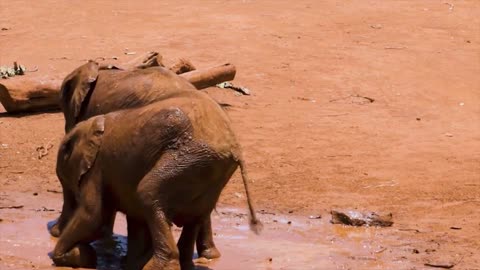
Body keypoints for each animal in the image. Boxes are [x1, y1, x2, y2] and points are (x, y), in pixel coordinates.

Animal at [51, 90, 262, 270]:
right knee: (196, 214)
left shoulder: (97, 167)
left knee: (147, 192)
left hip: (190, 158)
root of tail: (234, 146)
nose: (53, 233)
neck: (91, 124)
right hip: (209, 170)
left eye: (65, 151)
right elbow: (134, 220)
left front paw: (71, 256)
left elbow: (93, 215)